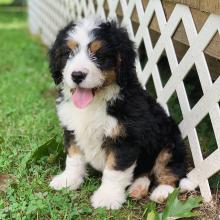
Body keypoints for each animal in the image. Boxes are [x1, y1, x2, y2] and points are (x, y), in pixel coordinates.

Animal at [48, 18, 196, 209]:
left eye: (99, 56)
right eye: (68, 54)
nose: (77, 75)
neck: (96, 102)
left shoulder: (125, 139)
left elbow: (114, 171)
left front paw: (107, 197)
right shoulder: (72, 129)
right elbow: (74, 158)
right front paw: (68, 180)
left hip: (170, 144)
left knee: (170, 171)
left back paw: (161, 192)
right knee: (144, 173)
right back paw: (137, 188)